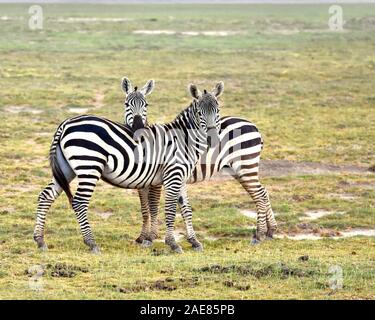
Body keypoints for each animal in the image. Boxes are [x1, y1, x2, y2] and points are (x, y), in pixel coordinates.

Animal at [33, 77, 223, 252]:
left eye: (218, 110)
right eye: (200, 113)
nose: (213, 138)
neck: (183, 140)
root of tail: (66, 123)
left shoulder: (180, 178)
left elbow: (186, 209)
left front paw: (194, 241)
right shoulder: (172, 175)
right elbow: (169, 209)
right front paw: (173, 244)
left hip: (66, 169)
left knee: (46, 196)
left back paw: (40, 240)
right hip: (89, 166)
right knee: (79, 202)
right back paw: (91, 243)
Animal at [122, 80, 276, 245]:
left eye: (146, 105)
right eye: (126, 104)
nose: (138, 128)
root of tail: (252, 124)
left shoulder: (157, 181)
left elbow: (153, 207)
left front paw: (150, 237)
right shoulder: (143, 182)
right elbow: (145, 209)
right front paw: (142, 236)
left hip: (246, 165)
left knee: (259, 194)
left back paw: (259, 235)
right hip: (239, 170)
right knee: (262, 192)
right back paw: (270, 230)